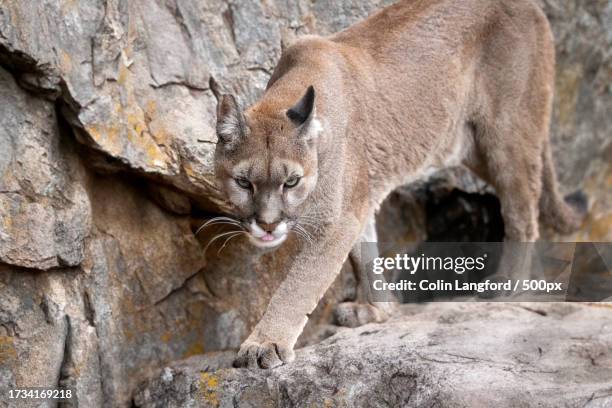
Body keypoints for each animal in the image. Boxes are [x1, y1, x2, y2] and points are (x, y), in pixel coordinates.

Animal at [213, 0, 584, 370]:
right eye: (243, 182)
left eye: (291, 182)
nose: (267, 225)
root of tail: (532, 7)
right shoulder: (357, 201)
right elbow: (363, 253)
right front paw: (376, 310)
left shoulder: (335, 220)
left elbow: (299, 285)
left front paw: (264, 343)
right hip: (472, 146)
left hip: (507, 138)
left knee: (522, 211)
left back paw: (510, 284)